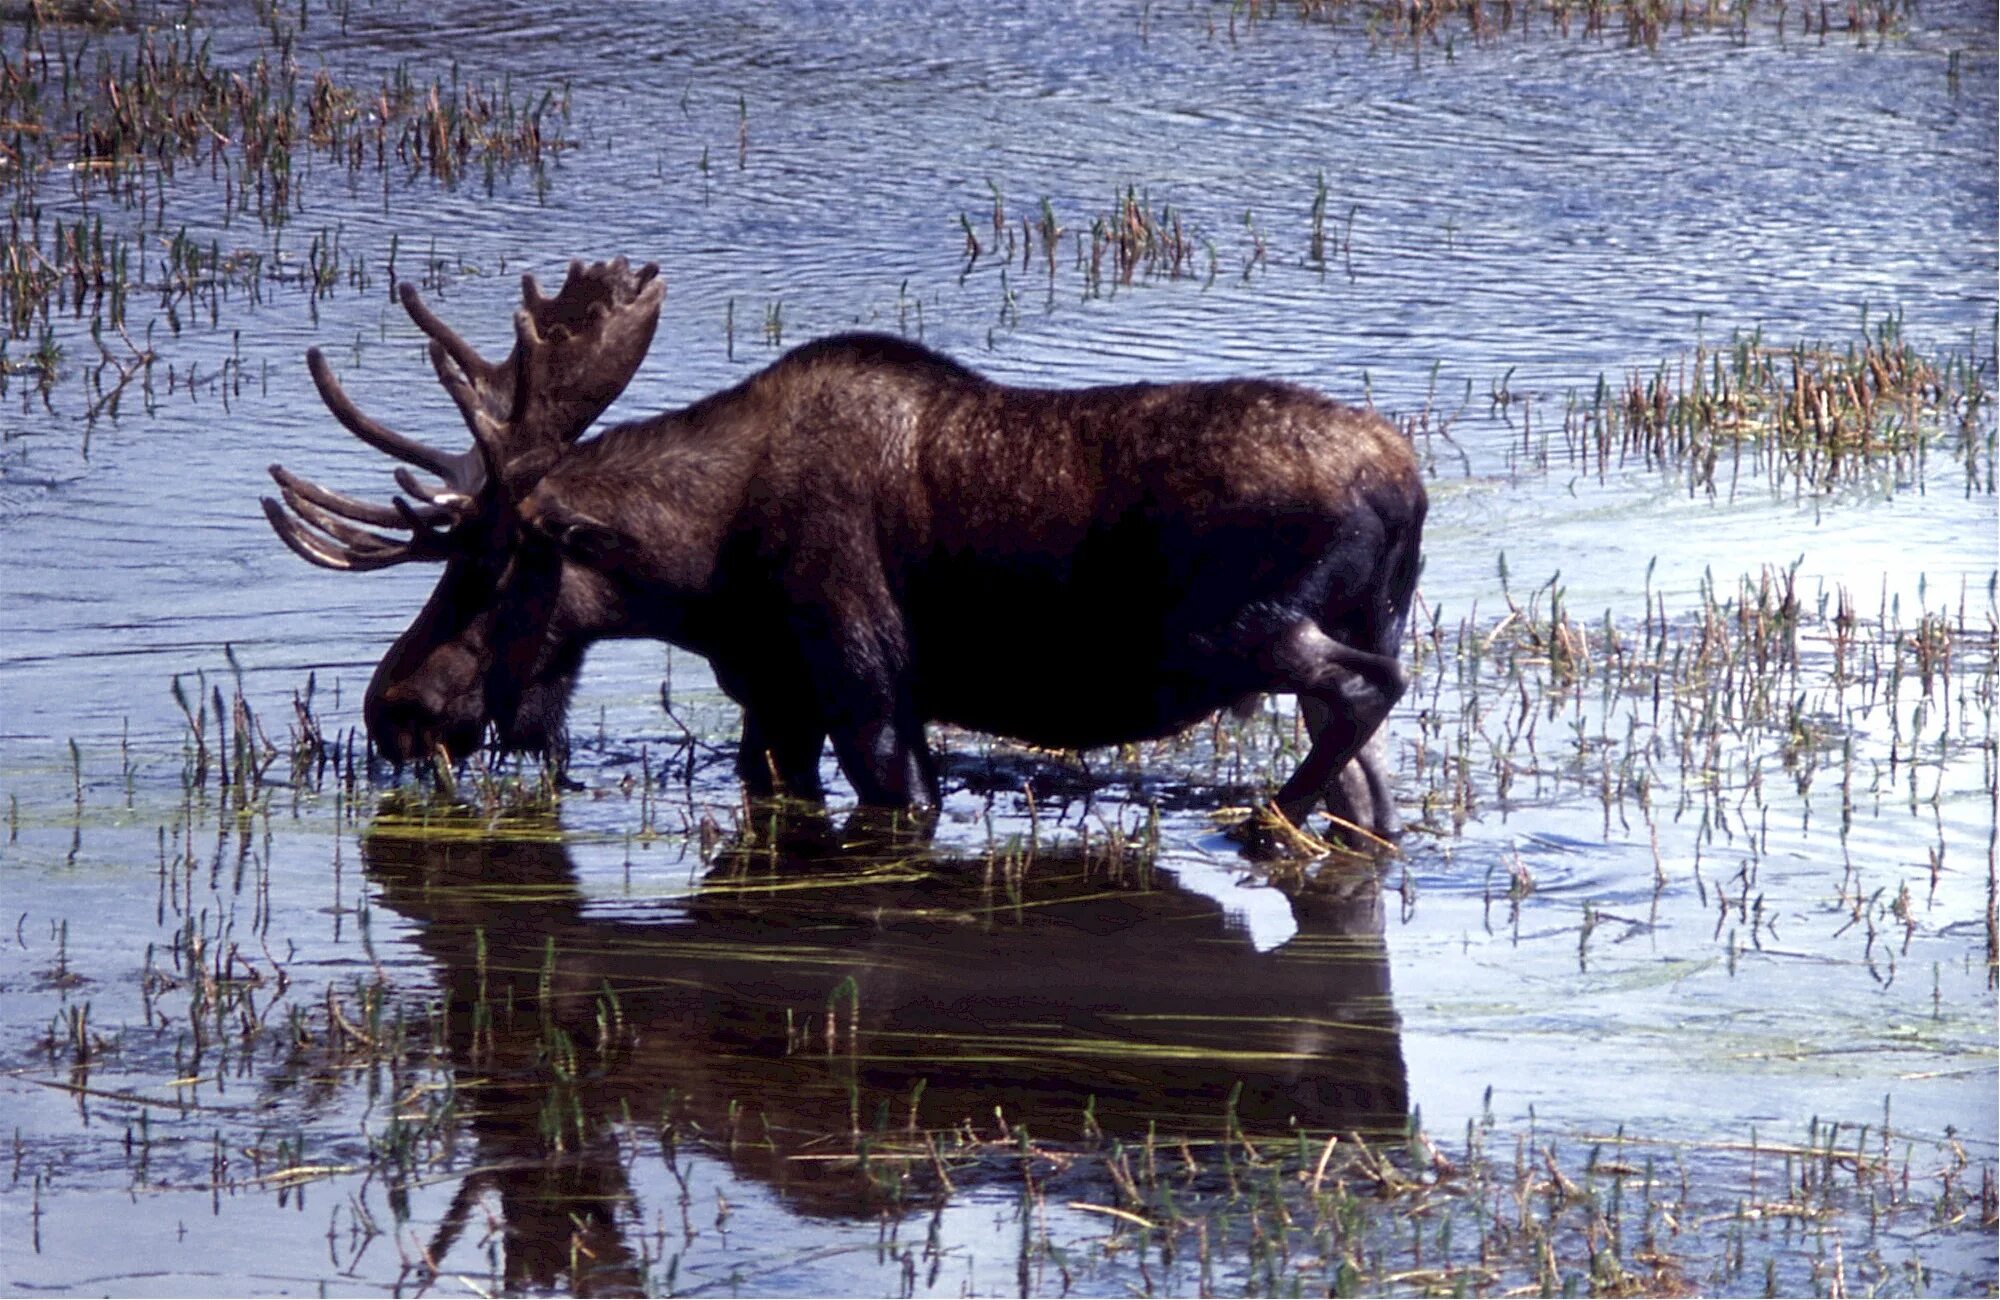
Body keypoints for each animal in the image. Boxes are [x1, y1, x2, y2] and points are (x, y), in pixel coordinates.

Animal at [262, 258, 1424, 836]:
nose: (393, 708)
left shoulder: (864, 682)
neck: (701, 571)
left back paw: (1262, 821)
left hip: (1243, 627)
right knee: (1369, 777)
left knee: (1367, 687)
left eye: (487, 566)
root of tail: (1406, 488)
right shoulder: (773, 697)